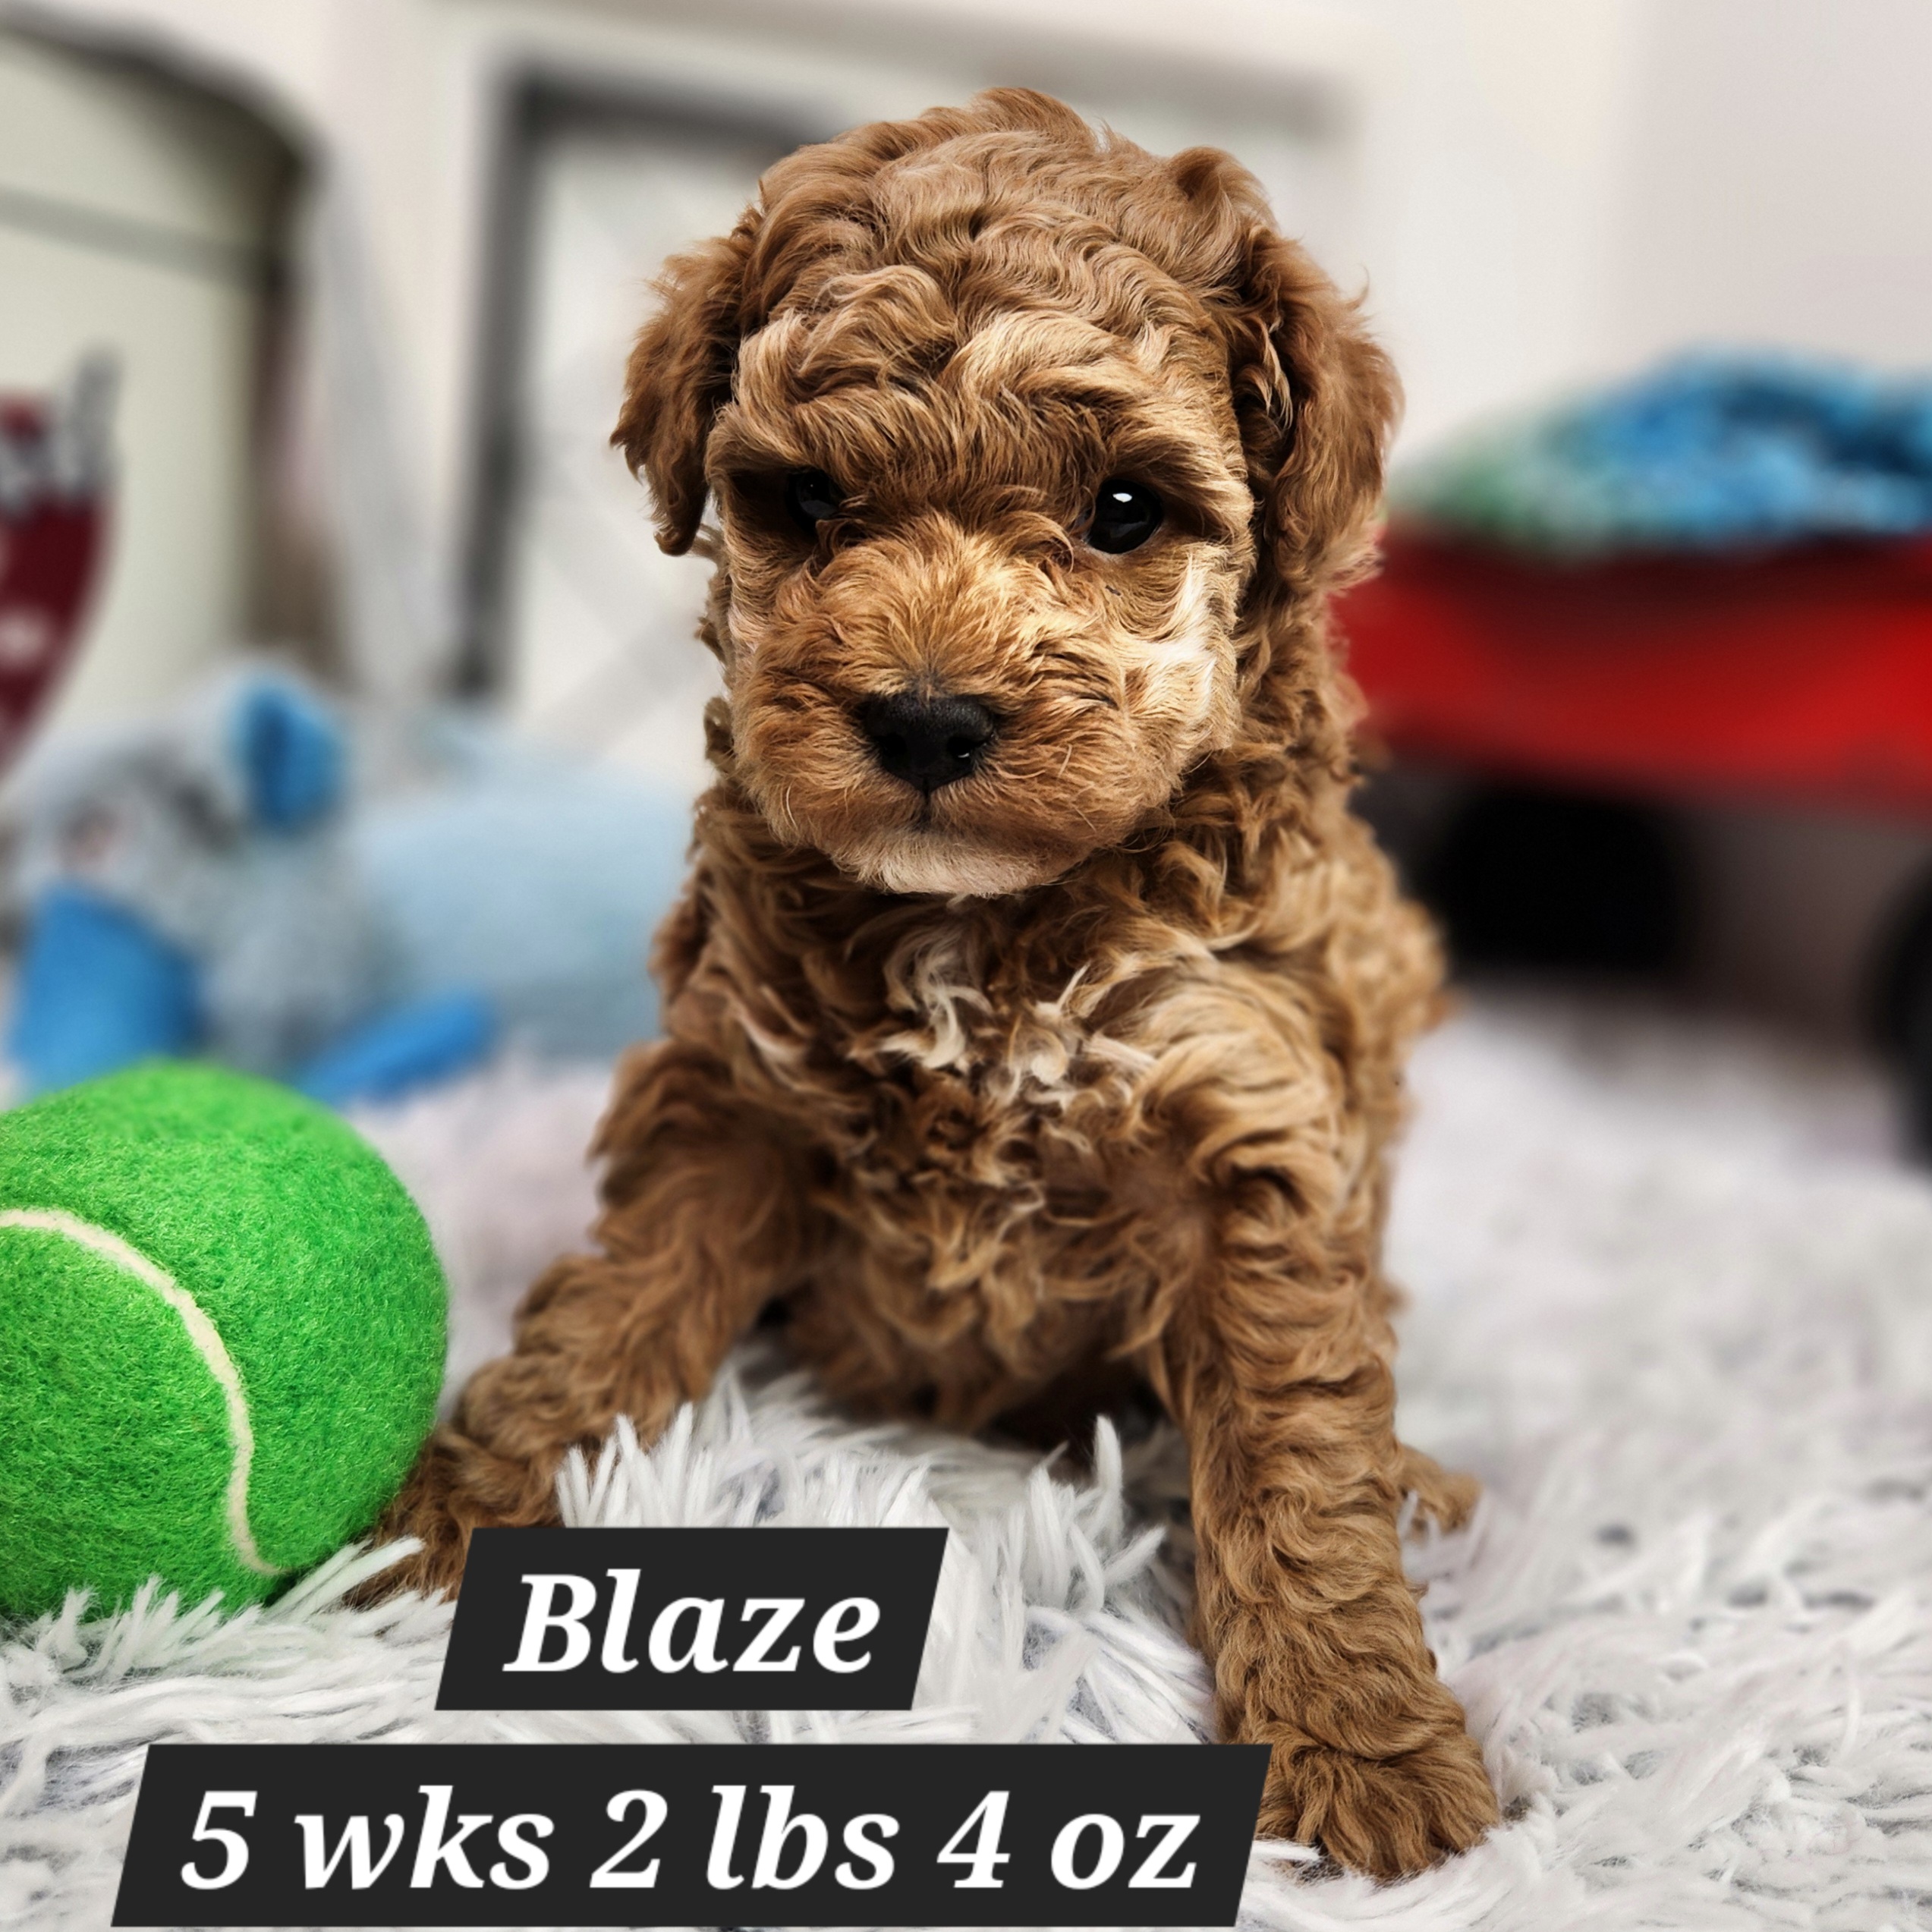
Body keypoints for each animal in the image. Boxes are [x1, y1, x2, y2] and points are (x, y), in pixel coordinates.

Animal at [376, 87, 1491, 1870]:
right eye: (810, 505)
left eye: (1125, 510)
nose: (921, 717)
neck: (988, 931)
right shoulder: (733, 1091)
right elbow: (613, 1309)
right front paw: (458, 1519)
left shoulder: (1250, 1116)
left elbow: (1296, 1447)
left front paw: (1357, 1746)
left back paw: (1422, 1483)